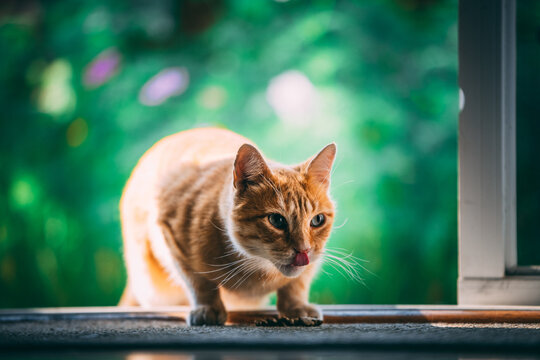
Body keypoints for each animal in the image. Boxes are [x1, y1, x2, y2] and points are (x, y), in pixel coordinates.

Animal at [120, 127, 336, 326]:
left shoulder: (312, 262)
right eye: (276, 220)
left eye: (317, 220)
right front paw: (208, 308)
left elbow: (296, 284)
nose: (304, 251)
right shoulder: (173, 239)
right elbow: (199, 282)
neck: (258, 267)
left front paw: (296, 306)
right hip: (152, 288)